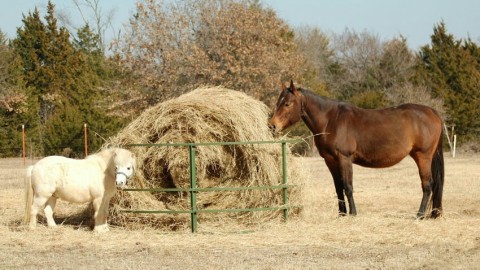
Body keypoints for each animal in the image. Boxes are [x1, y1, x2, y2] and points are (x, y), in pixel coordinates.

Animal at [272, 80, 444, 219]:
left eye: (287, 103)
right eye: (278, 102)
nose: (272, 126)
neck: (331, 120)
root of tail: (432, 112)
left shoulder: (344, 158)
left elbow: (348, 187)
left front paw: (353, 213)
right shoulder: (331, 161)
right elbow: (338, 188)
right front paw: (341, 214)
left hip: (423, 156)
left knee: (427, 185)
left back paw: (420, 215)